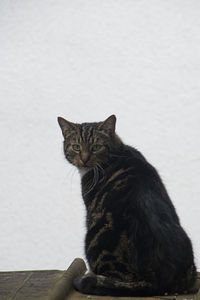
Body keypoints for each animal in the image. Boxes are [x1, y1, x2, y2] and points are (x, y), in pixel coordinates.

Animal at [57, 114, 197, 296]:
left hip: (94, 237)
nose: (84, 159)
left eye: (96, 147)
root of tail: (156, 281)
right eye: (76, 147)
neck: (117, 153)